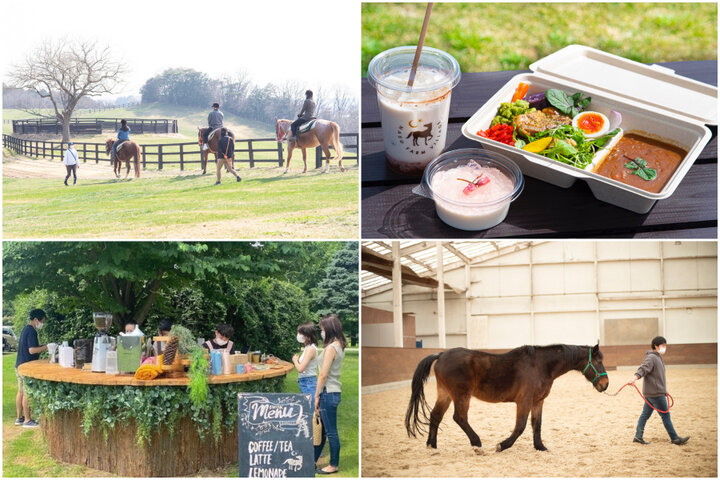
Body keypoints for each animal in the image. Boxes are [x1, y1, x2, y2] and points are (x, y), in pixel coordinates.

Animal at [404, 344, 608, 452]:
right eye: (598, 361)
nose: (605, 384)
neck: (541, 366)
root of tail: (441, 354)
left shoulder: (538, 401)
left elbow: (537, 424)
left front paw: (540, 446)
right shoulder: (524, 401)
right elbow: (521, 426)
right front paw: (502, 445)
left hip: (445, 394)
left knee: (436, 416)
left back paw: (432, 445)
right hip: (461, 395)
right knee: (459, 417)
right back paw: (476, 442)